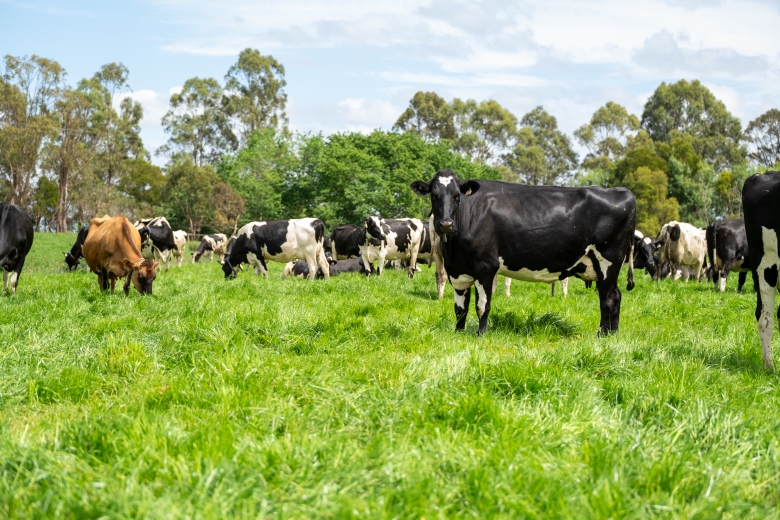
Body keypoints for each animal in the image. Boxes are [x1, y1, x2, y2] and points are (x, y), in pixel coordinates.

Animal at [411, 169, 635, 336]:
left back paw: (602, 335)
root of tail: (623, 193)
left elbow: (482, 305)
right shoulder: (458, 271)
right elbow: (460, 309)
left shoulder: (485, 267)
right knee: (616, 295)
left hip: (608, 260)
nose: (446, 224)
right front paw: (458, 333)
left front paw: (480, 335)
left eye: (457, 196)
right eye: (434, 195)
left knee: (608, 298)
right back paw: (612, 334)